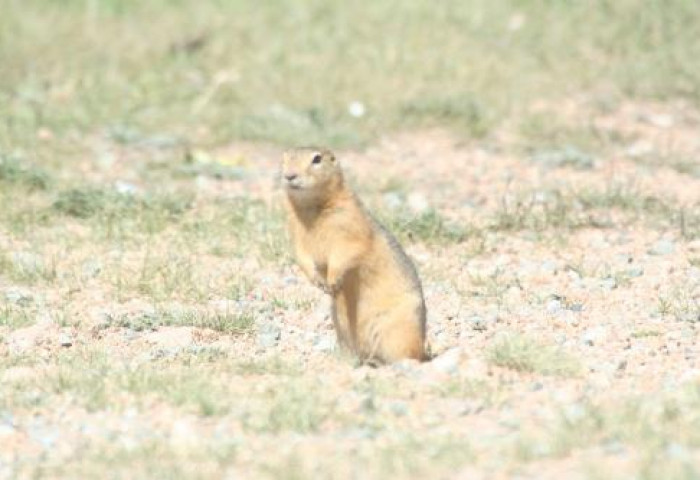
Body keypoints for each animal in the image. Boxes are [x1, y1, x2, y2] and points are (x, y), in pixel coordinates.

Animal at [280, 147, 426, 364]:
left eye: (317, 159)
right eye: (284, 159)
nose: (289, 175)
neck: (313, 207)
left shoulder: (349, 223)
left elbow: (347, 250)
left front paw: (332, 281)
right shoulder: (295, 231)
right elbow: (302, 256)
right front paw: (318, 282)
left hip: (401, 329)